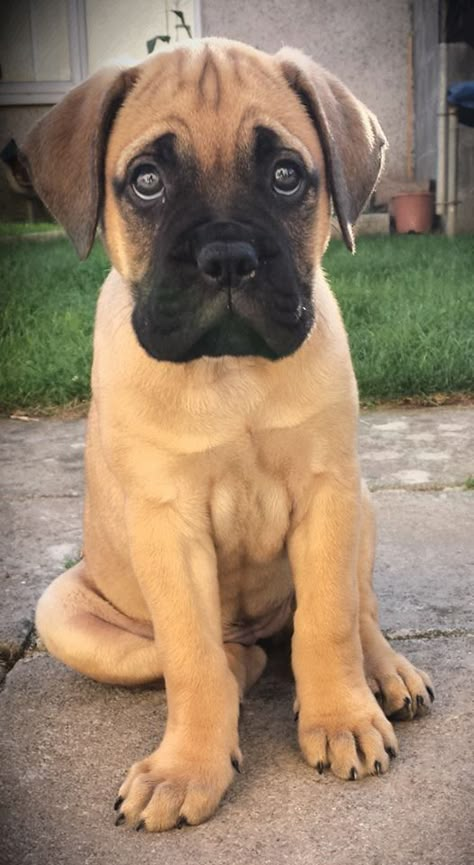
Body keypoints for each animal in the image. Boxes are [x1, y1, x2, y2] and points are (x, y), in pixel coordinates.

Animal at [23, 38, 436, 832]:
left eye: (285, 176)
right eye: (147, 181)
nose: (227, 259)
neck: (229, 372)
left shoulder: (327, 495)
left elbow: (331, 620)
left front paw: (340, 717)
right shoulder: (167, 523)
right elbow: (190, 655)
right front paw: (187, 768)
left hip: (363, 505)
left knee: (356, 612)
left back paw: (386, 674)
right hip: (60, 612)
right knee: (219, 657)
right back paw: (246, 665)